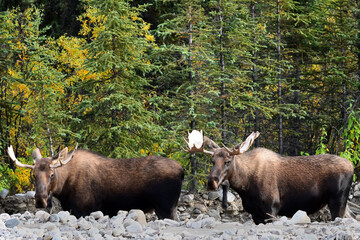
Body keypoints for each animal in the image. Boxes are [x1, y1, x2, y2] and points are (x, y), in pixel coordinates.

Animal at [7, 143, 184, 218]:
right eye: (33, 175)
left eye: (52, 174)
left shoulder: (85, 209)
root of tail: (182, 171)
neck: (64, 190)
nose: (40, 200)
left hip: (166, 207)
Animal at [183, 130, 354, 224]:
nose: (211, 182)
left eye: (228, 161)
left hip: (338, 202)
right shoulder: (255, 214)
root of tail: (352, 166)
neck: (244, 186)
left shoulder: (271, 210)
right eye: (212, 161)